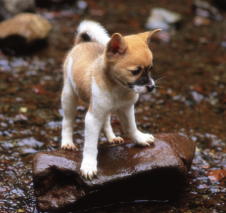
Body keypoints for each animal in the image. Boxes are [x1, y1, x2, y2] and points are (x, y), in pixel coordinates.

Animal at [61, 20, 160, 180]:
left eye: (150, 68)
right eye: (135, 71)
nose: (151, 87)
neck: (119, 89)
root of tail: (80, 43)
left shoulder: (126, 109)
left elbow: (131, 127)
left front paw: (140, 138)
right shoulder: (93, 118)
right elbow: (90, 145)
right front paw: (89, 165)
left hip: (104, 109)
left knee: (106, 121)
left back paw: (112, 138)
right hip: (69, 96)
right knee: (67, 121)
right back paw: (67, 142)